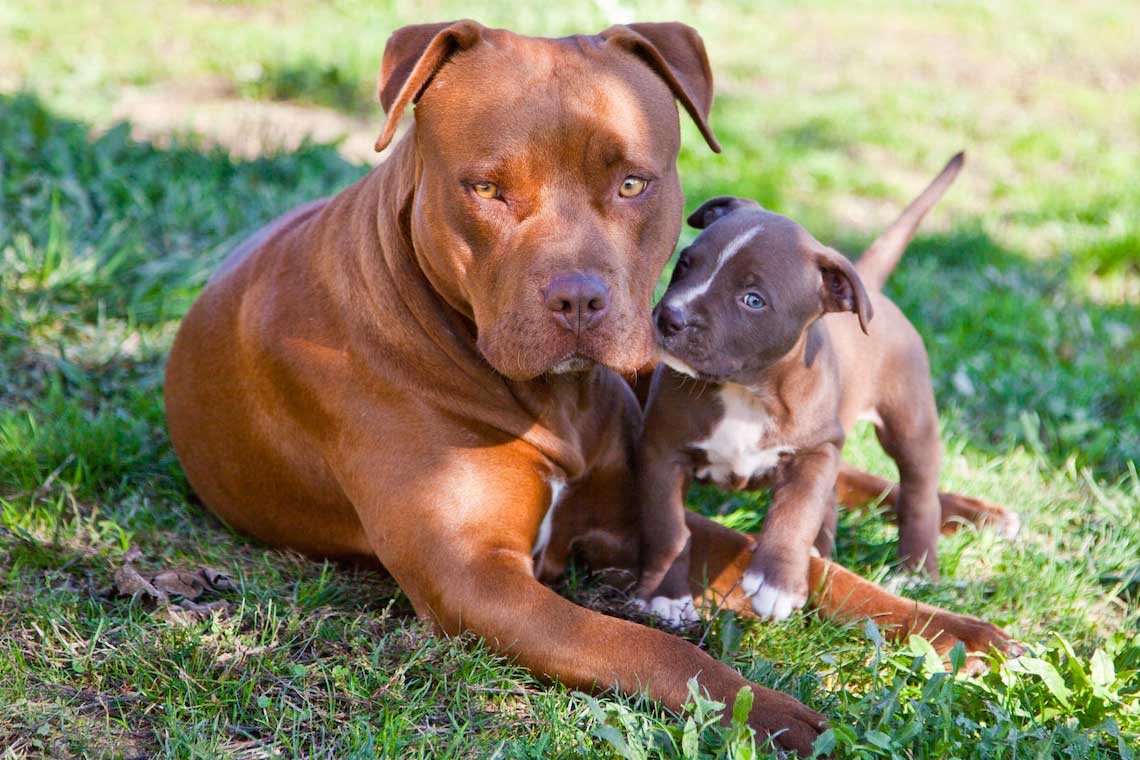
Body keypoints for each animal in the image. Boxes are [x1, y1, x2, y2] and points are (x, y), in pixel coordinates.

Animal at [638, 152, 1021, 624]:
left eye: (753, 300)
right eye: (685, 264)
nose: (670, 317)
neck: (747, 389)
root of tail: (869, 289)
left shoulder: (813, 453)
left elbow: (795, 513)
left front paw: (778, 582)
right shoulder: (662, 448)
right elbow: (668, 526)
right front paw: (666, 594)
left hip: (910, 421)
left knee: (918, 491)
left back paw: (915, 569)